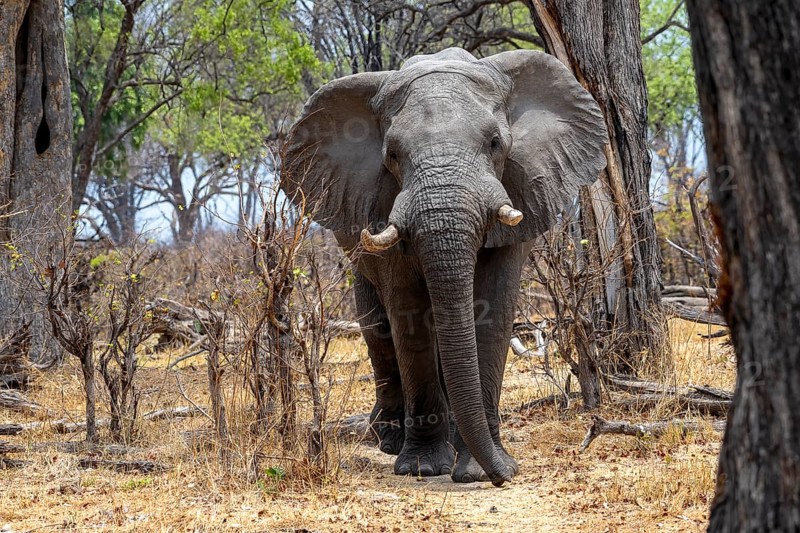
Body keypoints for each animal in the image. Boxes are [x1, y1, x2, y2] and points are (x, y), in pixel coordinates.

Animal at [281, 48, 607, 486]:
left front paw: (476, 471)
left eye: (495, 143)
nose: (506, 476)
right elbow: (408, 312)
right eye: (392, 155)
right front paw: (423, 467)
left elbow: (493, 308)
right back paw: (389, 441)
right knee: (378, 328)